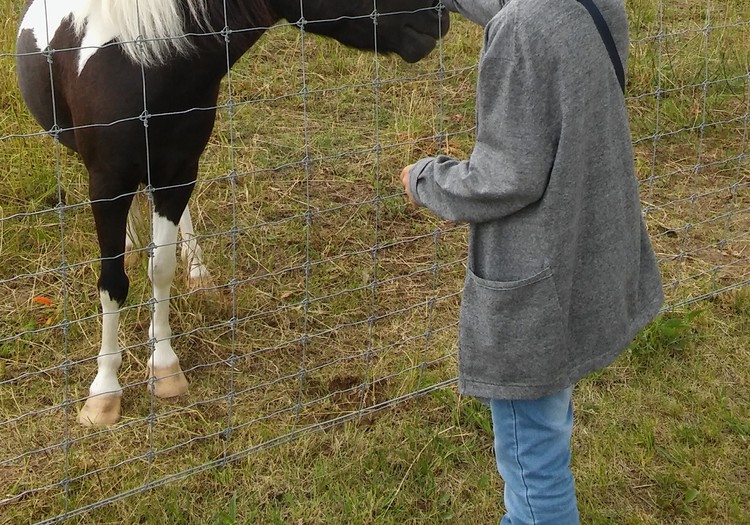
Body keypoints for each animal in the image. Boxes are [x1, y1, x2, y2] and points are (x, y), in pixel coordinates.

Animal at [16, 0, 452, 426]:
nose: (440, 19)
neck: (142, 63)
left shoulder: (179, 172)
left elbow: (162, 269)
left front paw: (165, 368)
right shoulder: (108, 184)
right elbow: (112, 284)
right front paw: (104, 394)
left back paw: (196, 270)